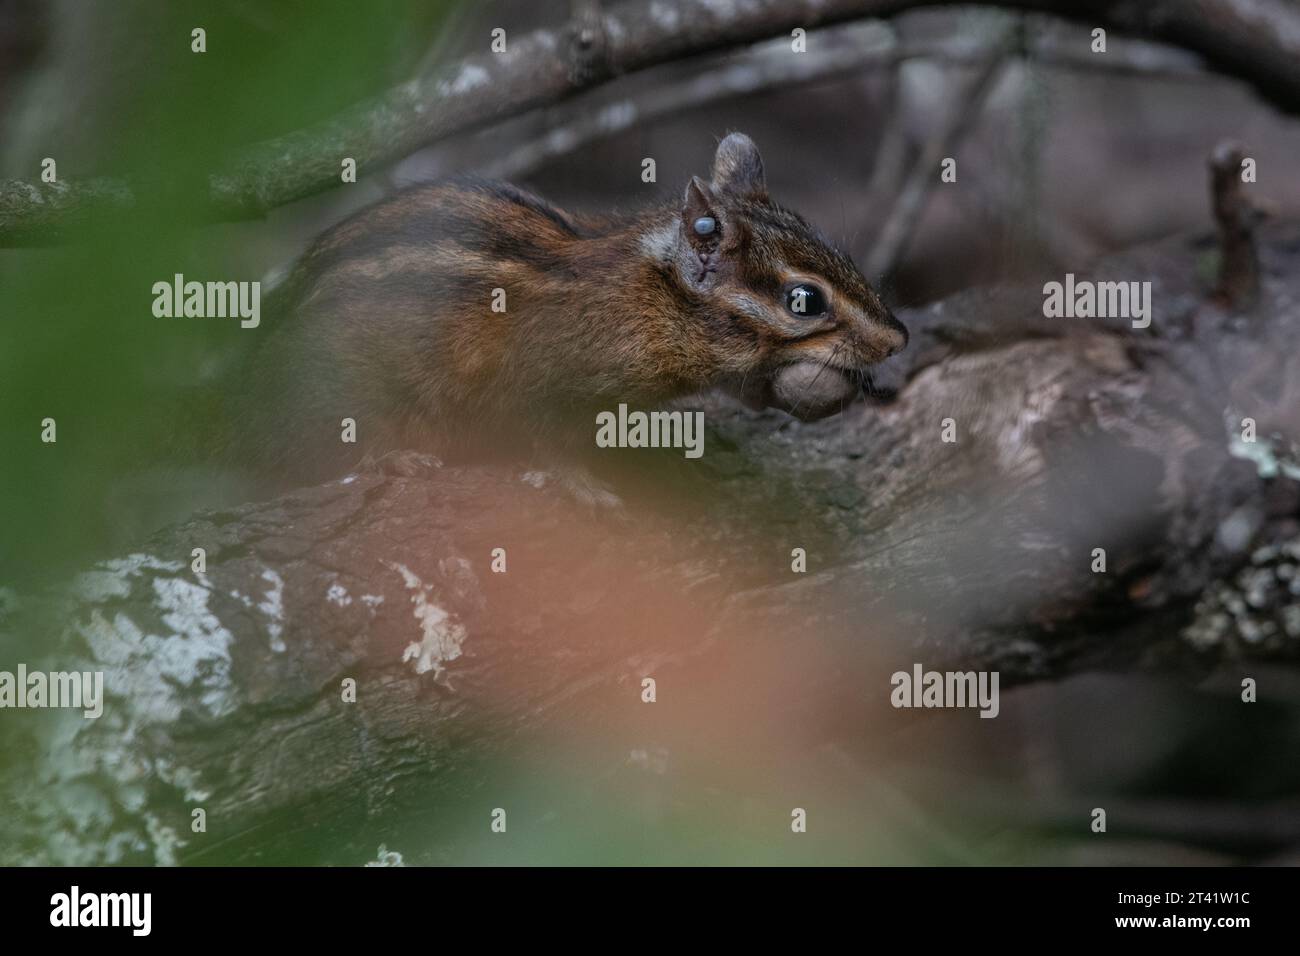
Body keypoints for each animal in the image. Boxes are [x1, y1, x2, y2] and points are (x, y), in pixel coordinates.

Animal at [228, 132, 908, 489]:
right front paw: (583, 487)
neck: (650, 295)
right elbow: (538, 435)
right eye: (805, 301)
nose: (899, 339)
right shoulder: (532, 380)